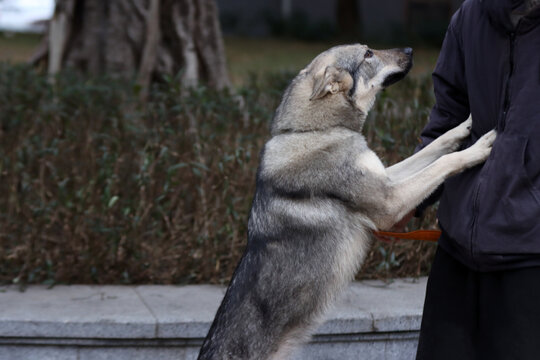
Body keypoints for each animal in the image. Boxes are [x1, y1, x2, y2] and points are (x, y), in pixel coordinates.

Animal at [196, 44, 496, 360]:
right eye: (368, 54)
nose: (410, 49)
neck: (314, 132)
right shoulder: (389, 202)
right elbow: (444, 163)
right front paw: (479, 148)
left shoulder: (385, 178)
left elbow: (437, 146)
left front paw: (467, 125)